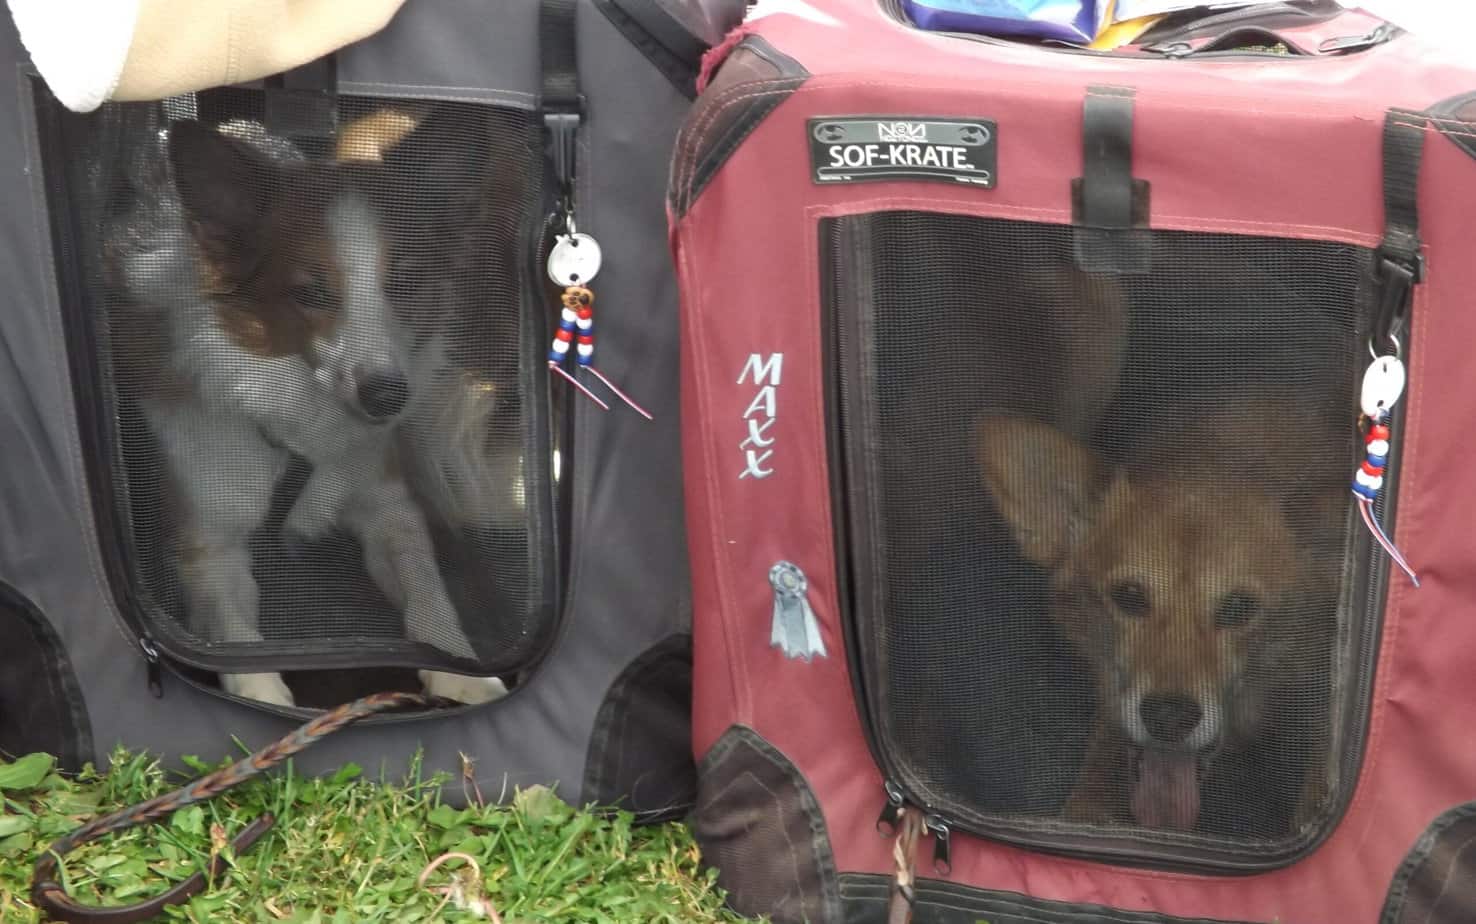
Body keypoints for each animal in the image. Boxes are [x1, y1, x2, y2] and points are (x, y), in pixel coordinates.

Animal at [82, 88, 554, 705]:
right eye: (308, 294)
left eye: (406, 284)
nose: (386, 398)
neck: (297, 407)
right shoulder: (208, 543)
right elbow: (239, 645)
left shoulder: (388, 506)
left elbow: (430, 602)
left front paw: (463, 674)